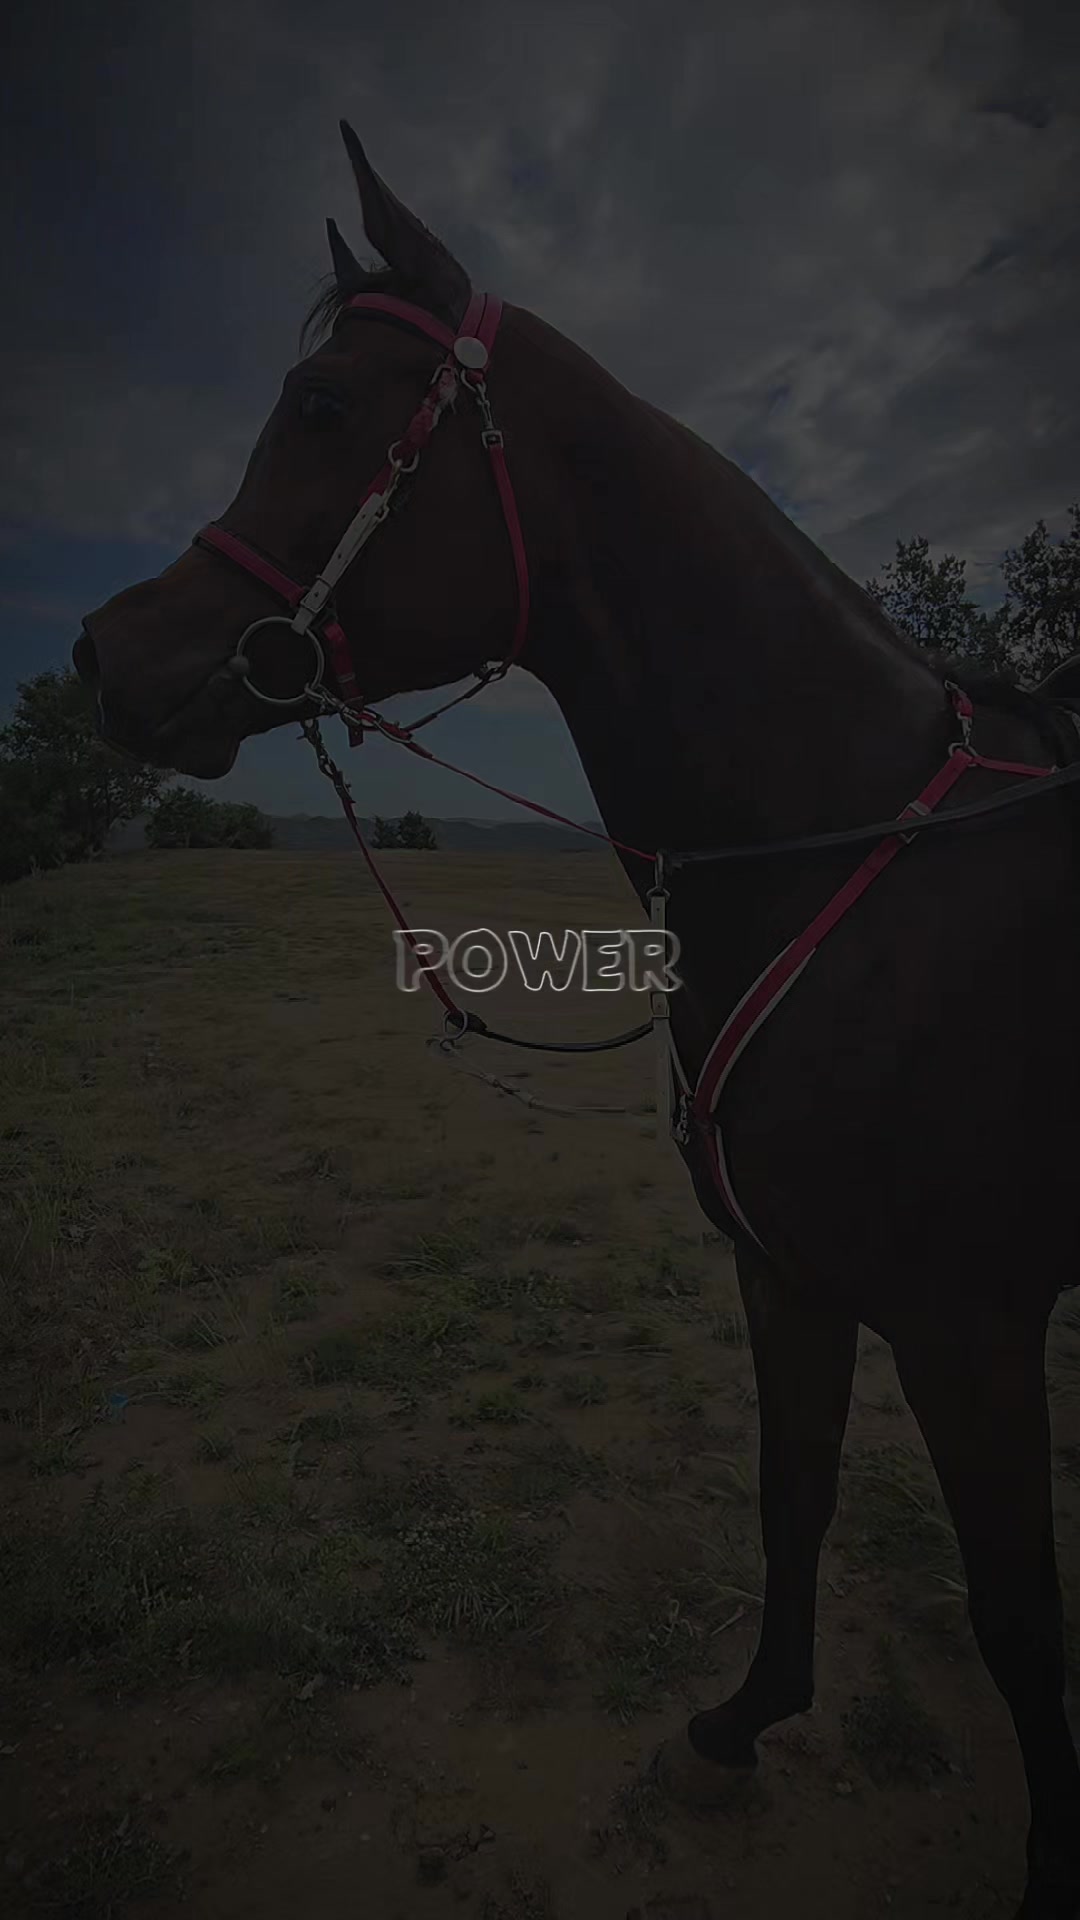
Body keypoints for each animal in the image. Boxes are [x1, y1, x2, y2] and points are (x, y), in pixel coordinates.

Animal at [73, 120, 1080, 1916]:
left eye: (322, 406)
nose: (102, 650)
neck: (850, 853)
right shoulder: (787, 1276)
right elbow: (793, 1495)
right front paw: (744, 1721)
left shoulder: (973, 1328)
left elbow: (1019, 1621)